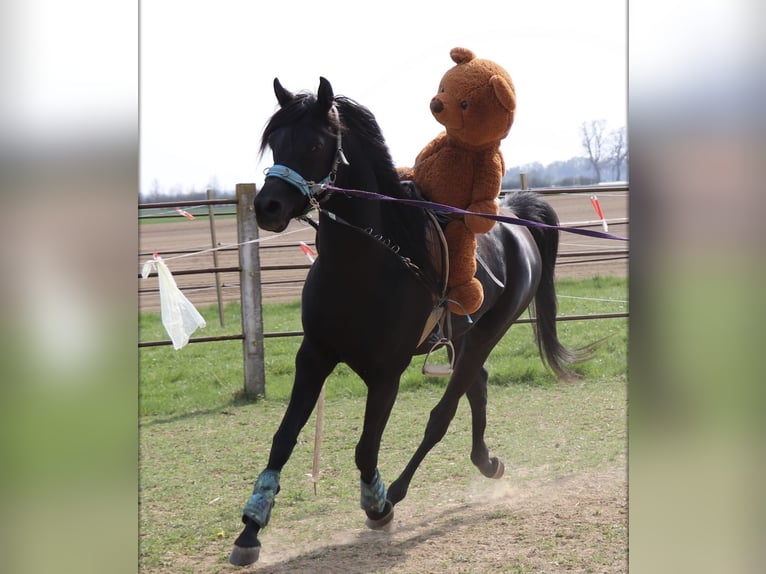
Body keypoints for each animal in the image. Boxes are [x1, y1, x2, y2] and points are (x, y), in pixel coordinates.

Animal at [231, 76, 584, 568]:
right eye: (276, 142)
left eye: (315, 142)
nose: (268, 206)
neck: (362, 264)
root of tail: (515, 219)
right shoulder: (314, 355)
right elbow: (283, 438)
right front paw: (251, 527)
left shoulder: (386, 375)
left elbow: (366, 446)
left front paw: (376, 503)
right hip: (466, 338)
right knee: (478, 386)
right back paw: (486, 462)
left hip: (488, 333)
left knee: (444, 413)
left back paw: (398, 490)